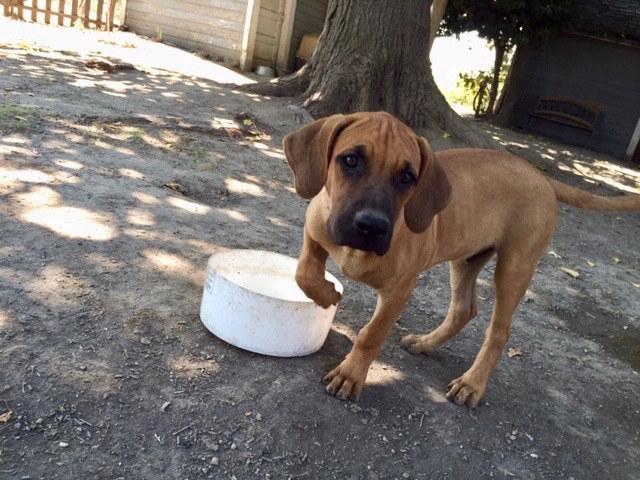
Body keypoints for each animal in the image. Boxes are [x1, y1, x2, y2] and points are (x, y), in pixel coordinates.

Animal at [284, 110, 640, 406]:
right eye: (351, 160)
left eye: (407, 177)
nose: (371, 226)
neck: (358, 250)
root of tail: (540, 176)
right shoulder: (314, 232)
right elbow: (304, 272)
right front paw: (328, 294)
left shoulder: (399, 291)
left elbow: (371, 335)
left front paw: (350, 375)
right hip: (466, 260)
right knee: (464, 309)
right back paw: (426, 344)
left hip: (515, 267)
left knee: (498, 333)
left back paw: (472, 384)